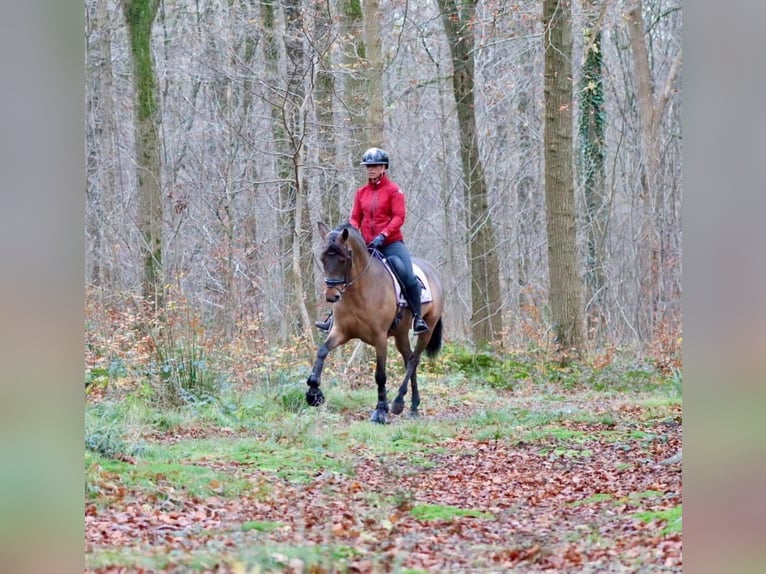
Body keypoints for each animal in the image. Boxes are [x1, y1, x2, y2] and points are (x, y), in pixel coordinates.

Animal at [305, 222, 444, 423]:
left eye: (343, 259)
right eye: (323, 258)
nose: (332, 296)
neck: (359, 290)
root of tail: (433, 271)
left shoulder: (379, 337)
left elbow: (380, 375)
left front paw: (380, 411)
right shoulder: (340, 331)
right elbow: (322, 351)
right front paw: (313, 393)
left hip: (428, 328)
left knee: (414, 360)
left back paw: (398, 402)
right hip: (401, 334)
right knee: (409, 358)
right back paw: (413, 406)